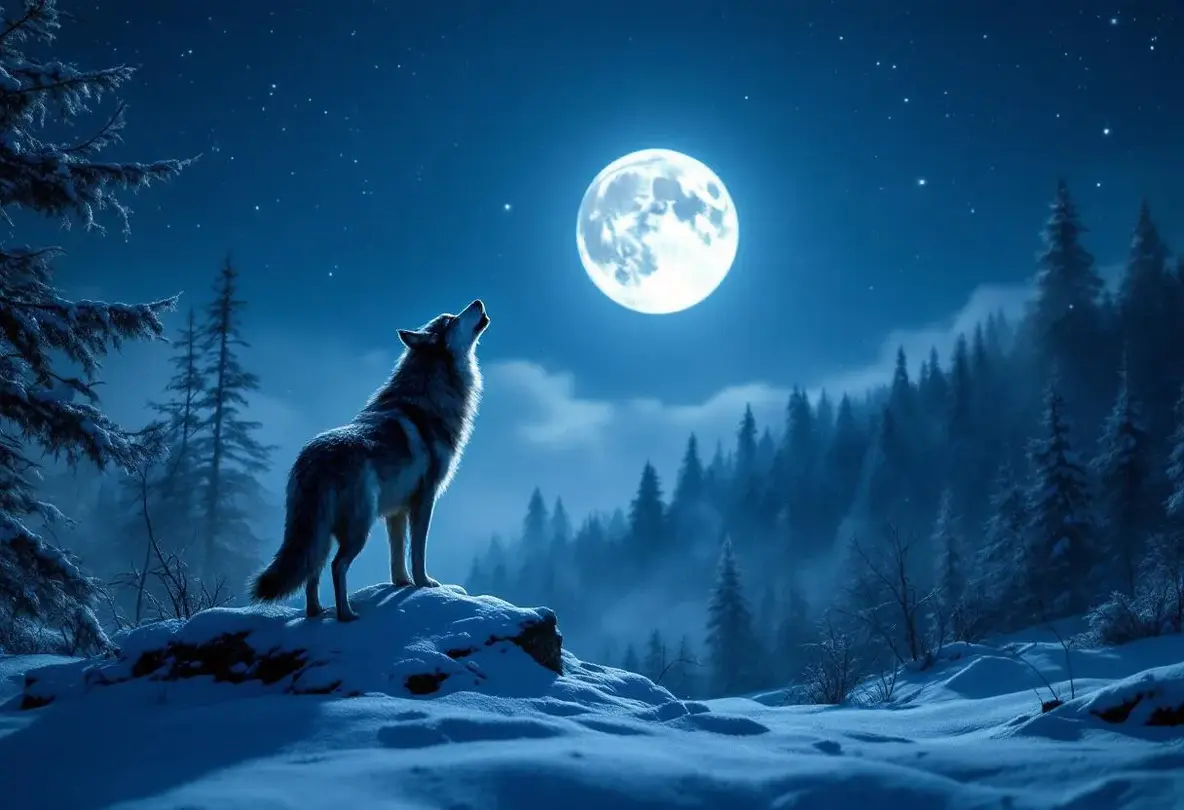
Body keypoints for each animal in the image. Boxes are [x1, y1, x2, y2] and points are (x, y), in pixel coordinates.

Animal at [249, 299, 489, 621]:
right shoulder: (424, 499)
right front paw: (424, 584)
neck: (430, 396)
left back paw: (317, 612)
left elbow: (397, 557)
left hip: (322, 533)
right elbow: (418, 552)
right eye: (451, 319)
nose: (477, 301)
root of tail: (313, 460)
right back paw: (345, 614)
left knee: (314, 568)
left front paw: (402, 584)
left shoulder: (396, 512)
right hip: (359, 529)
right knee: (337, 566)